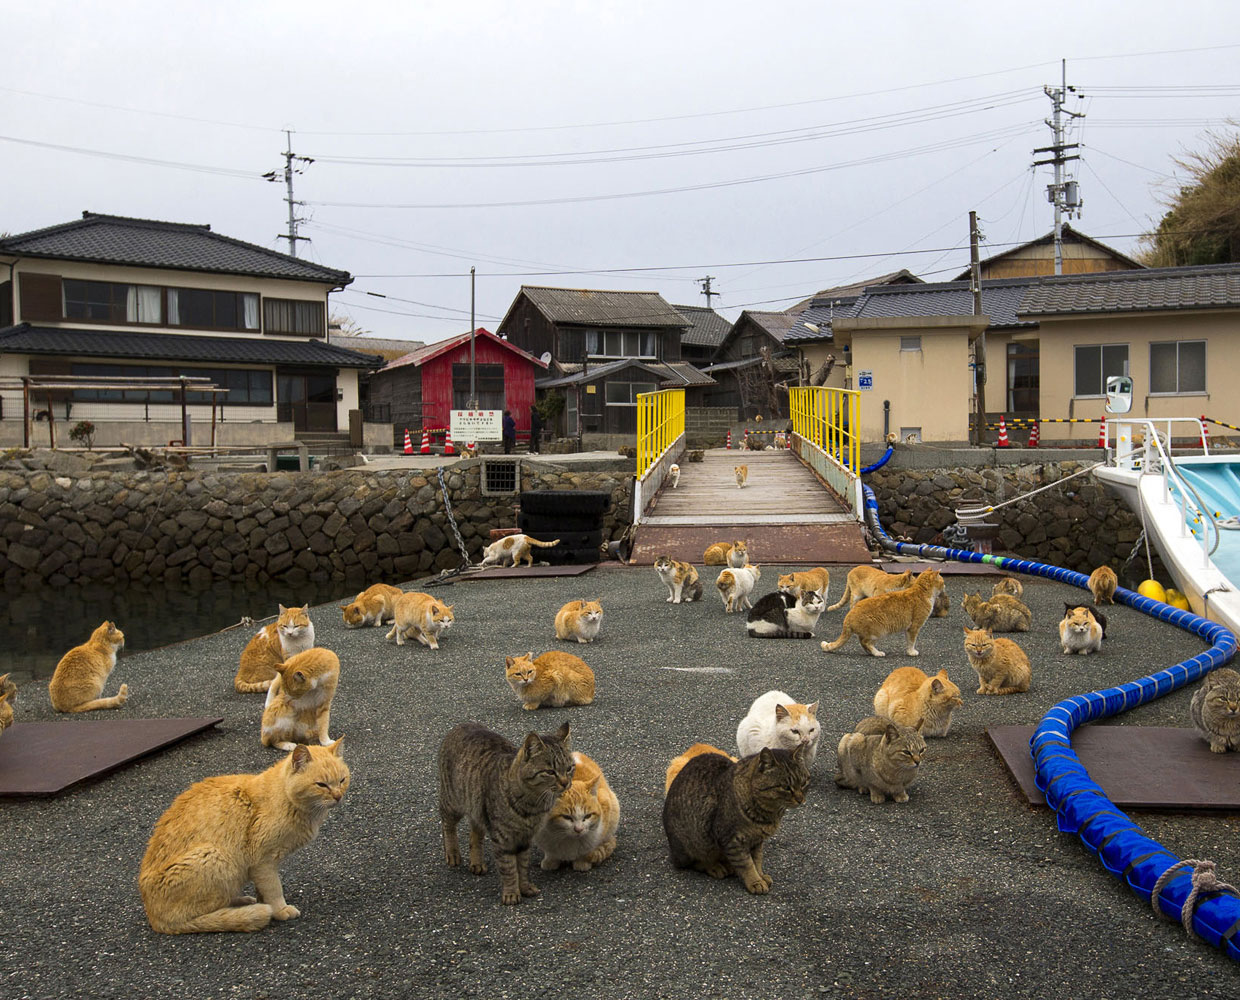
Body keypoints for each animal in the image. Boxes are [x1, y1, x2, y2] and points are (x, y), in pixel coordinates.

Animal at [438, 719, 572, 908]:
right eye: (550, 772)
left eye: (569, 768)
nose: (566, 783)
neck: (532, 804)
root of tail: (463, 723)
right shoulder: (502, 839)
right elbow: (509, 868)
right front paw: (511, 893)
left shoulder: (525, 839)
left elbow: (522, 866)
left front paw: (525, 887)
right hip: (453, 802)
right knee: (447, 824)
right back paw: (452, 854)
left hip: (478, 809)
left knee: (475, 834)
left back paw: (477, 862)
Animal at [659, 749, 813, 898]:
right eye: (786, 787)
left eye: (804, 783)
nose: (801, 799)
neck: (768, 814)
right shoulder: (731, 839)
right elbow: (747, 864)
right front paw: (755, 881)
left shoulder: (757, 841)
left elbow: (757, 860)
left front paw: (761, 875)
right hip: (692, 843)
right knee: (694, 862)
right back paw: (715, 867)